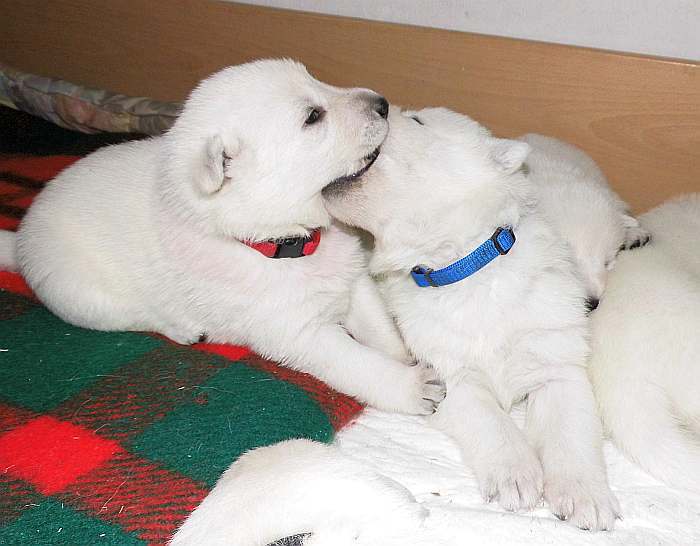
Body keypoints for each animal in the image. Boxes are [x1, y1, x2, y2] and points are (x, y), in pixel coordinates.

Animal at [0, 58, 446, 412]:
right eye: (312, 117)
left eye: (316, 79)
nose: (382, 103)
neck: (286, 241)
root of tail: (19, 238)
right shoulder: (294, 331)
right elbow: (355, 361)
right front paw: (412, 387)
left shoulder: (352, 279)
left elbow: (381, 327)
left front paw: (405, 356)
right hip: (82, 295)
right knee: (135, 316)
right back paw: (182, 328)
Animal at [322, 105, 616, 528]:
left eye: (418, 121)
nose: (382, 104)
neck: (464, 267)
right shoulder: (449, 374)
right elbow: (489, 418)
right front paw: (516, 473)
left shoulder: (557, 360)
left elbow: (571, 427)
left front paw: (584, 495)